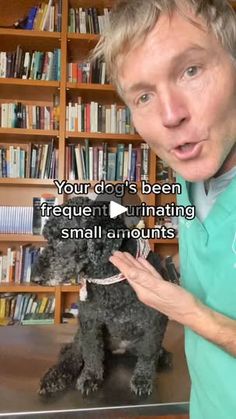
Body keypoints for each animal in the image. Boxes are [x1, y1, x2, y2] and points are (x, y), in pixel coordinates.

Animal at [31, 197, 175, 398]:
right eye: (47, 238)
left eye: (61, 237)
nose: (34, 279)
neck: (110, 278)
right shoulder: (89, 321)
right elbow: (92, 352)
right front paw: (90, 377)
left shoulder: (155, 321)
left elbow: (148, 353)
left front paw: (142, 379)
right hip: (80, 336)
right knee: (73, 356)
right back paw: (54, 376)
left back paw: (162, 355)